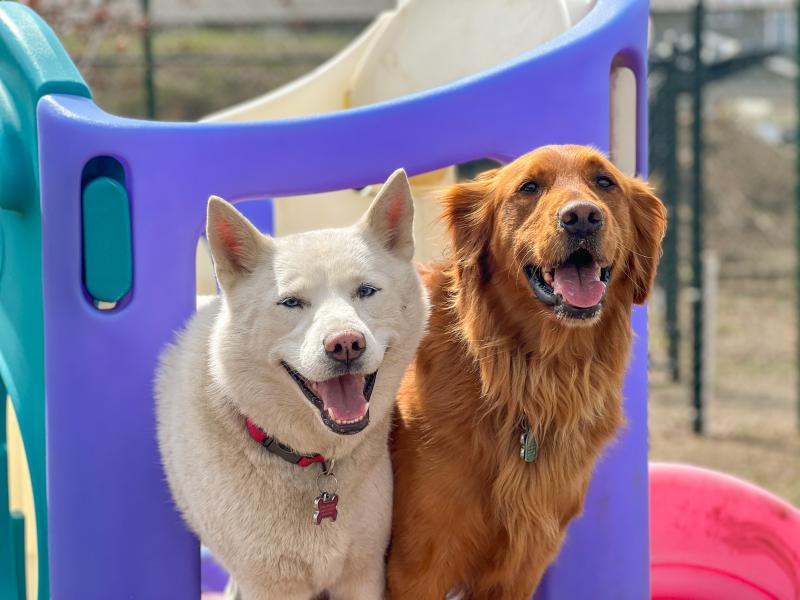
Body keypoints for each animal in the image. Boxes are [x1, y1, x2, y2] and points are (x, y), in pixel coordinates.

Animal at [157, 170, 432, 600]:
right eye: (291, 303)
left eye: (366, 291)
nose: (346, 344)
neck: (313, 461)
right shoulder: (269, 583)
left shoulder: (363, 572)